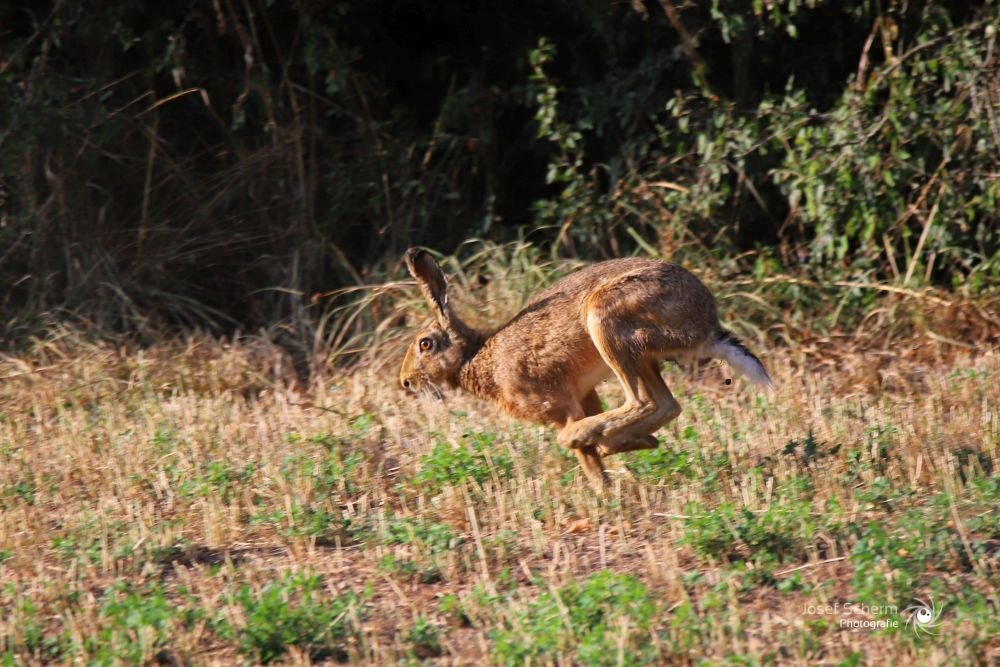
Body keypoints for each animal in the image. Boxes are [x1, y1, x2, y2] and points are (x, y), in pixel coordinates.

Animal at [399, 248, 772, 491]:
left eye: (425, 344)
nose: (405, 383)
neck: (474, 356)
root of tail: (707, 326)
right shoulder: (585, 395)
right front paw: (624, 448)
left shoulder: (558, 405)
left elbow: (587, 459)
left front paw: (601, 489)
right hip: (640, 356)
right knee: (665, 404)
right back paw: (626, 439)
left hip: (607, 322)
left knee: (643, 402)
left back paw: (585, 436)